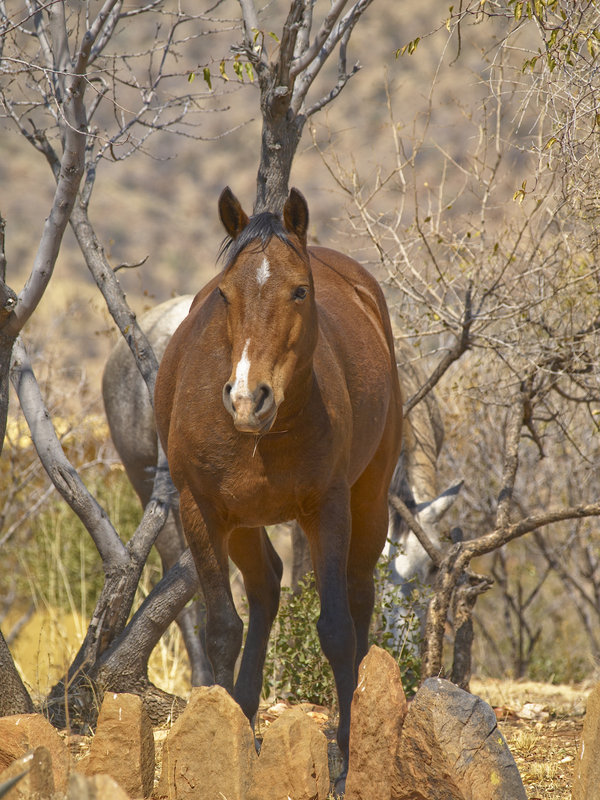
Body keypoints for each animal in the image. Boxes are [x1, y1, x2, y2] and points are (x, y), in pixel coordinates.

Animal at [153, 187, 403, 772]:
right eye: (224, 294)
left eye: (299, 290)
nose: (248, 397)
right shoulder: (201, 509)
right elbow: (223, 629)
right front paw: (221, 742)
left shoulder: (327, 508)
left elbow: (335, 630)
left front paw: (345, 756)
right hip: (244, 520)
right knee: (265, 585)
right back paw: (246, 712)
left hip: (370, 497)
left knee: (358, 600)